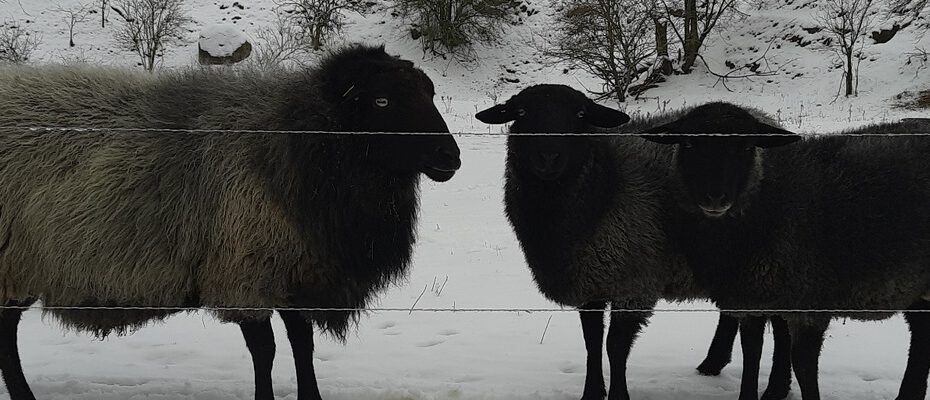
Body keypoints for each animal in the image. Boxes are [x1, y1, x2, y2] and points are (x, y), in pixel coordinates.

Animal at [0, 43, 461, 400]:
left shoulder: (291, 270)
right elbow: (265, 351)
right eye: (382, 100)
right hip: (12, 264)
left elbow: (302, 344)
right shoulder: (245, 271)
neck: (297, 147)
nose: (450, 157)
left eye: (430, 92)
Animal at [475, 85, 790, 400]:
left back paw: (777, 386)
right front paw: (592, 393)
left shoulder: (633, 282)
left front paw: (618, 395)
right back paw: (713, 364)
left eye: (580, 114)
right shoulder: (591, 282)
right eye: (521, 112)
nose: (549, 157)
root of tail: (765, 117)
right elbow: (592, 341)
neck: (605, 187)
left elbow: (615, 347)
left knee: (783, 322)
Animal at [642, 102, 930, 400]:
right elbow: (752, 352)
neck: (766, 202)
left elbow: (802, 364)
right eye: (688, 144)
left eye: (747, 147)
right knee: (922, 334)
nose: (715, 198)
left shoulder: (808, 300)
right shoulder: (752, 299)